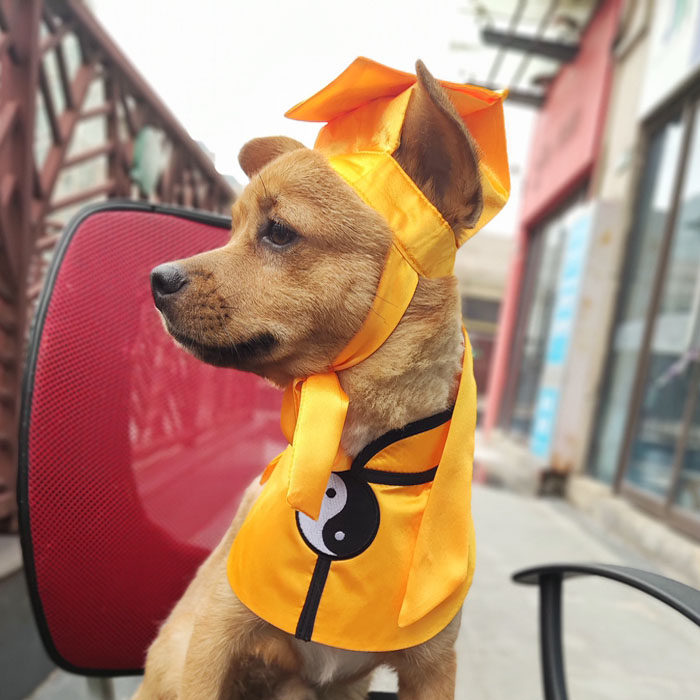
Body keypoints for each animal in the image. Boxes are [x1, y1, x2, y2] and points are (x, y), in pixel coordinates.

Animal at [134, 59, 508, 699]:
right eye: (232, 230)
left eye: (279, 232)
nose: (158, 279)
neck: (350, 453)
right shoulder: (213, 640)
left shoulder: (433, 668)